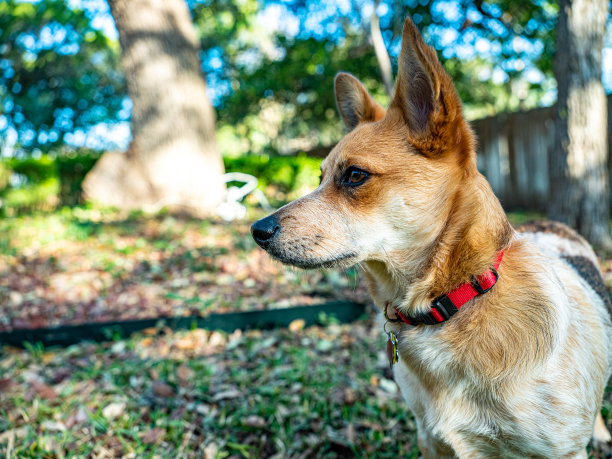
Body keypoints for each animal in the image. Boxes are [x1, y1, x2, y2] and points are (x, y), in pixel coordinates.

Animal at [251, 16, 612, 458]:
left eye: (354, 175)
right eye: (319, 177)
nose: (257, 230)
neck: (458, 298)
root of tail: (552, 223)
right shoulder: (431, 438)